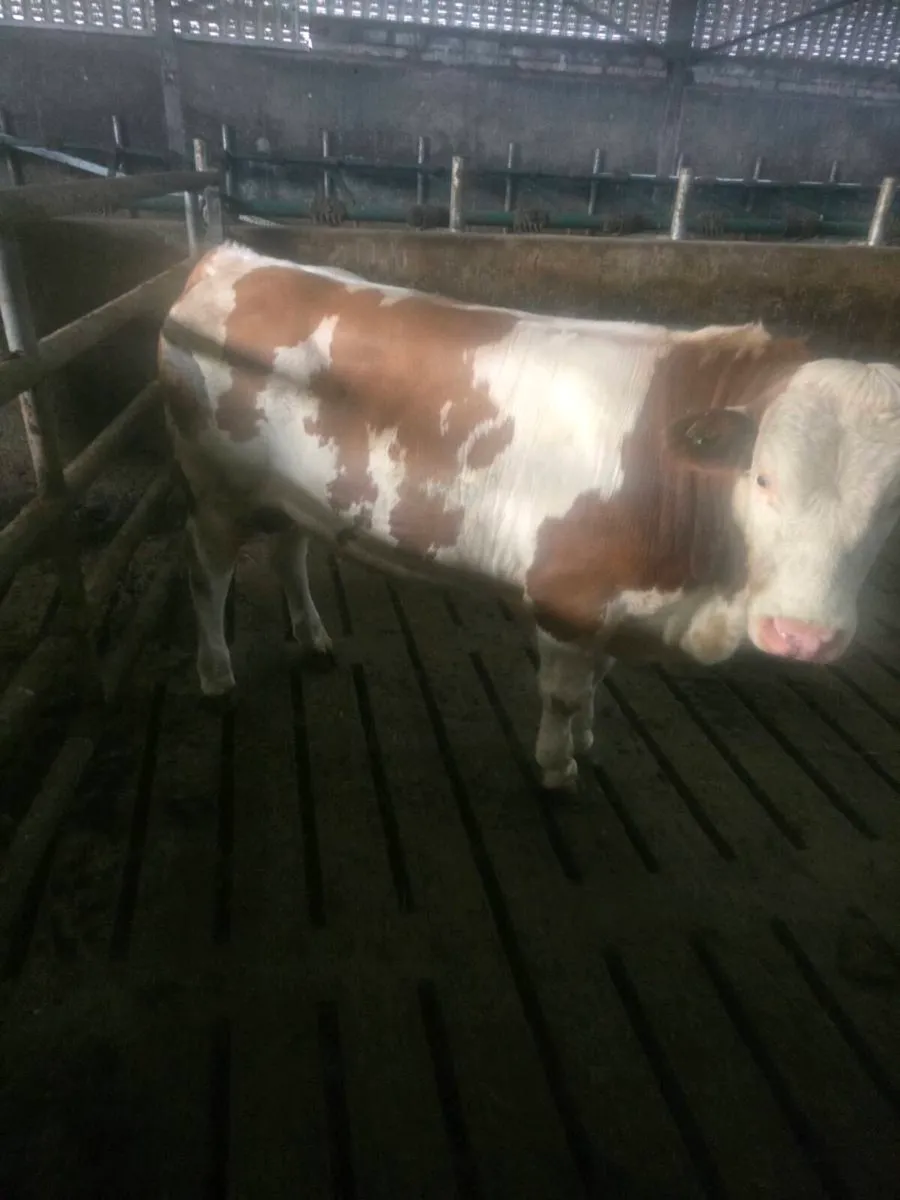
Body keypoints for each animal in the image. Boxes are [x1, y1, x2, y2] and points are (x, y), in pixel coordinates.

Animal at [158, 241, 900, 791]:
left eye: (892, 503)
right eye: (763, 477)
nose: (802, 635)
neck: (696, 592)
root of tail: (233, 256)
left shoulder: (615, 599)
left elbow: (598, 678)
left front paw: (589, 739)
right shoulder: (568, 596)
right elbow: (565, 692)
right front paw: (556, 763)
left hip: (288, 492)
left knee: (290, 552)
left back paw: (312, 638)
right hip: (216, 487)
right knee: (206, 574)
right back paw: (216, 675)